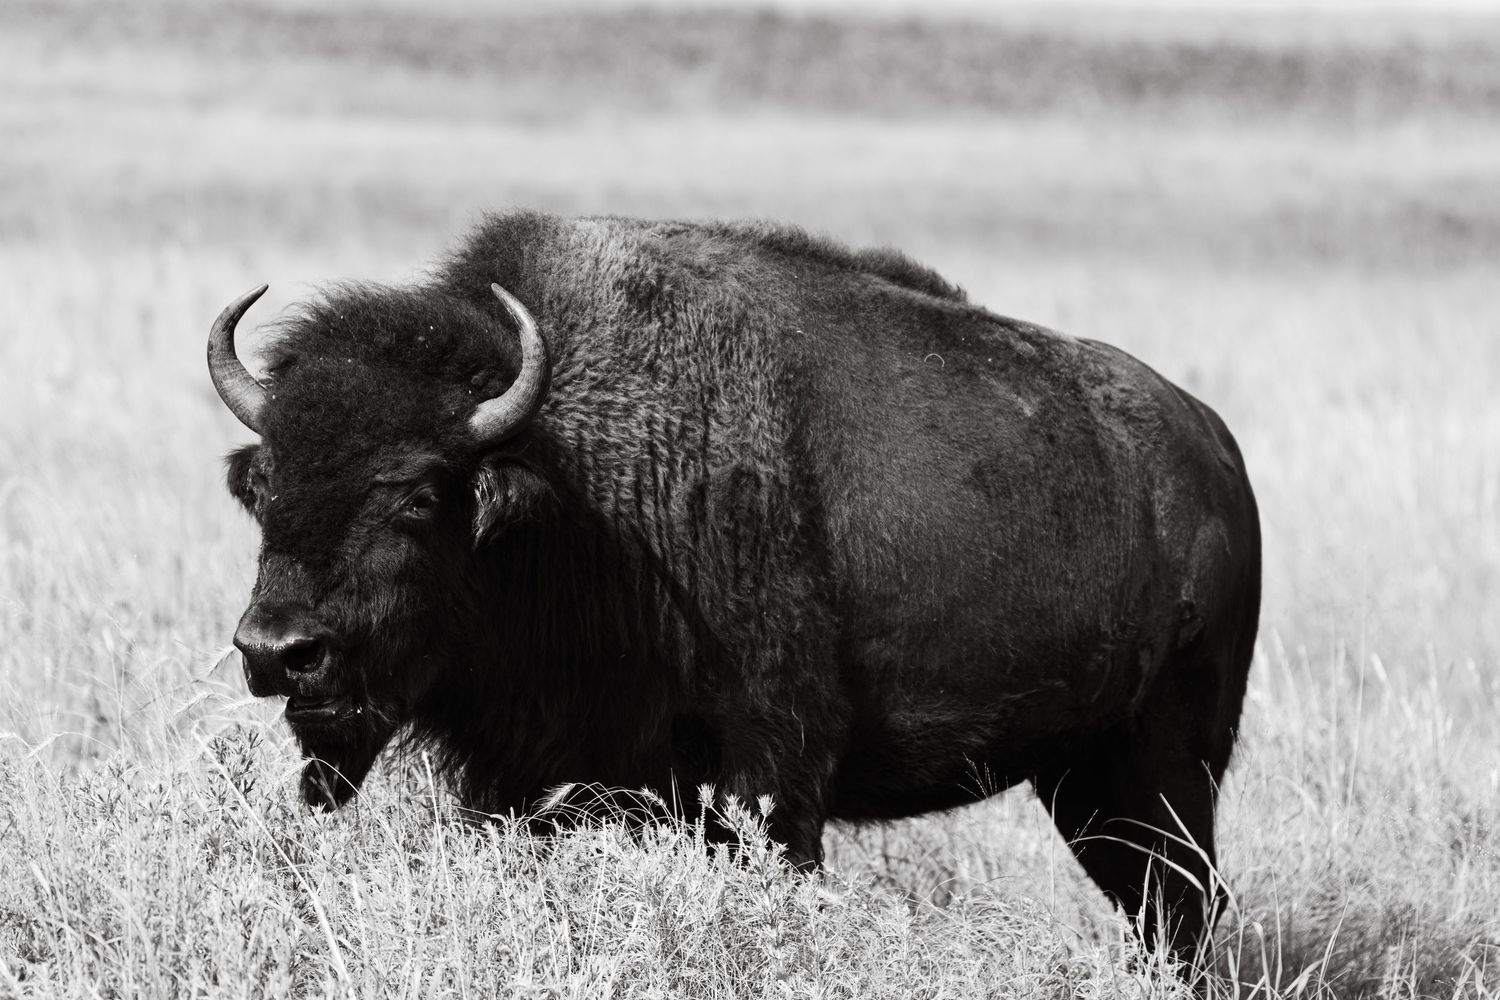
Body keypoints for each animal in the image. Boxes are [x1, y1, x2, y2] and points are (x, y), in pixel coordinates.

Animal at [211, 212, 1259, 964]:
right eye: (263, 485)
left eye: (422, 493)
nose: (279, 652)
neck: (572, 484)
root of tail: (1213, 447)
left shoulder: (771, 779)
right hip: (1083, 775)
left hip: (1167, 768)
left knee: (1184, 903)